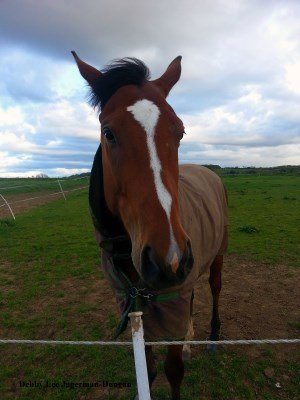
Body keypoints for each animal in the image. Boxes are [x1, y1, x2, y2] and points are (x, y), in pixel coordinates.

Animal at [72, 51, 227, 398]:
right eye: (108, 133)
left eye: (179, 132)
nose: (168, 259)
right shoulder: (135, 310)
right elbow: (150, 368)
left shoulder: (172, 301)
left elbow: (173, 371)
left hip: (216, 257)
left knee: (215, 289)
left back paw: (212, 336)